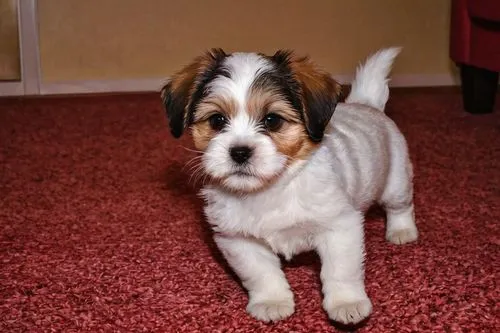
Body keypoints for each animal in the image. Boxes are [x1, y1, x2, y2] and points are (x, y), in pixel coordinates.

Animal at [161, 47, 418, 324]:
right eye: (217, 120)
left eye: (272, 120)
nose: (239, 152)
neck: (270, 189)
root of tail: (366, 104)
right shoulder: (239, 240)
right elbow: (261, 274)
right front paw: (272, 301)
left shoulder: (339, 226)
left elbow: (341, 270)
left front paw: (346, 303)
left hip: (396, 181)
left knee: (401, 206)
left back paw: (402, 231)